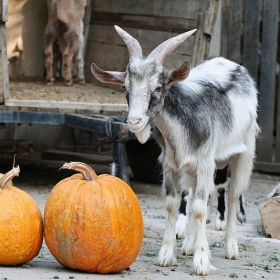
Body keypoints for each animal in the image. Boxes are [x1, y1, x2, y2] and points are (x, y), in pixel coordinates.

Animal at [91, 25, 260, 276]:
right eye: (125, 87)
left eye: (158, 87)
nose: (134, 121)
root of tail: (231, 64)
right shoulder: (170, 163)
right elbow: (173, 204)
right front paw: (166, 255)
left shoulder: (206, 162)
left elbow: (200, 208)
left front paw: (202, 262)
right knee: (194, 195)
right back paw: (189, 244)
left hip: (243, 152)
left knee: (231, 195)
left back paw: (231, 247)